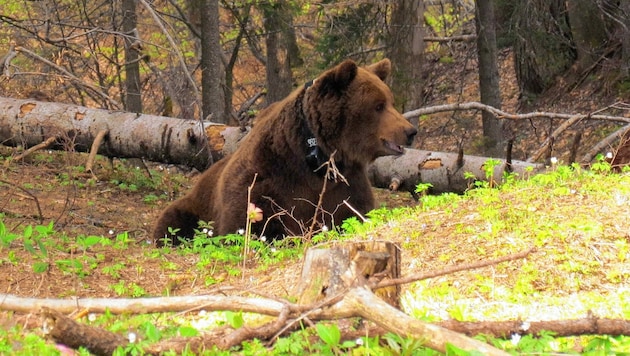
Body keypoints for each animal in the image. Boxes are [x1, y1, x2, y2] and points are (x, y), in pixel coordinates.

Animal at [152, 59, 418, 248]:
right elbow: (247, 223)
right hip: (194, 206)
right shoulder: (268, 177)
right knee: (172, 224)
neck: (317, 157)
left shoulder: (345, 183)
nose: (410, 131)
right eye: (378, 106)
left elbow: (353, 212)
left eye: (390, 101)